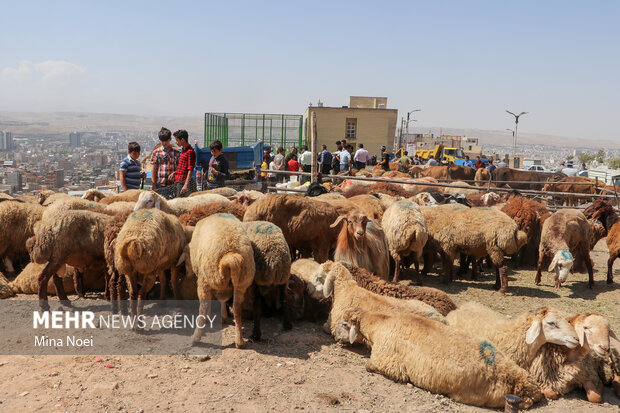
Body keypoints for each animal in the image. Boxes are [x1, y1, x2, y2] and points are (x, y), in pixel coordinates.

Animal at [190, 212, 256, 348]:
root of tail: (230, 255)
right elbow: (223, 299)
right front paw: (224, 317)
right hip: (241, 283)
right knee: (237, 308)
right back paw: (239, 342)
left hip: (205, 279)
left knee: (204, 307)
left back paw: (195, 338)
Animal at [330, 306, 544, 408]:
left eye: (344, 324)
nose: (333, 336)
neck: (380, 324)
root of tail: (523, 382)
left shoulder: (388, 364)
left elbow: (369, 366)